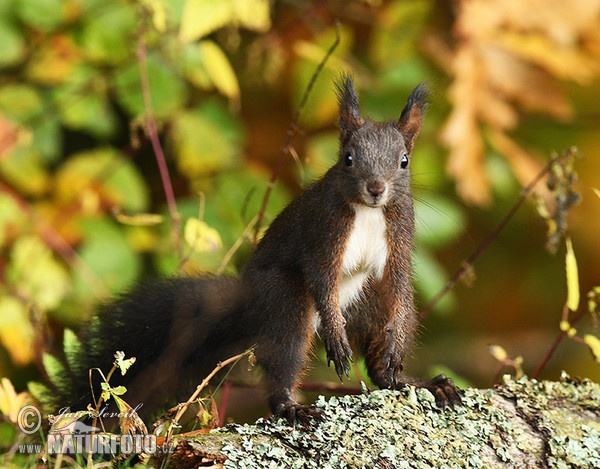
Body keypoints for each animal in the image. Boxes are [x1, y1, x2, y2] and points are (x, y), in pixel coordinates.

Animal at [49, 76, 462, 424]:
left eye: (404, 161)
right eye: (348, 157)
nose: (376, 188)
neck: (369, 211)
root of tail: (247, 304)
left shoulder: (400, 234)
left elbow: (399, 287)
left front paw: (396, 349)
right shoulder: (324, 232)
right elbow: (321, 278)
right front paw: (336, 339)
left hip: (369, 302)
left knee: (379, 363)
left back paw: (412, 381)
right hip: (283, 300)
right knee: (284, 354)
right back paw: (291, 405)